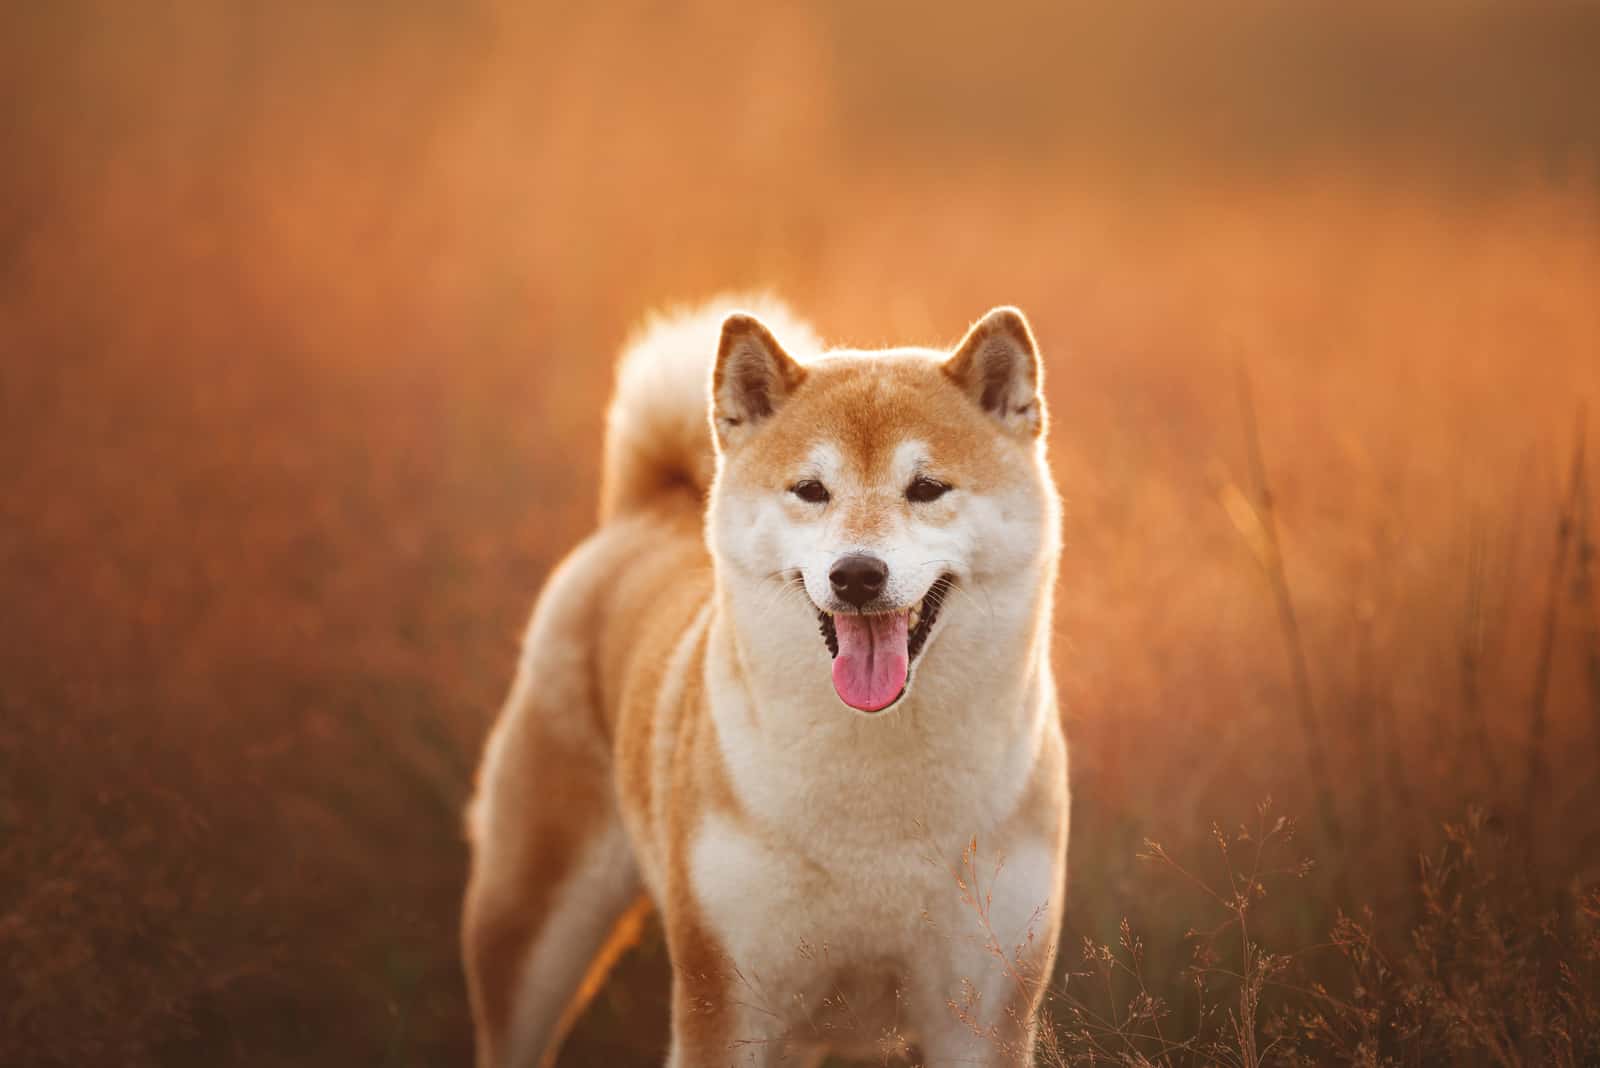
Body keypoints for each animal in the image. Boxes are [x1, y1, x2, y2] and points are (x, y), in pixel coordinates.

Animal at [460, 300, 1062, 1068]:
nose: (856, 573)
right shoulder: (726, 1001)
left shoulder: (982, 1014)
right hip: (533, 923)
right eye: (811, 490)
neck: (876, 799)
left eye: (927, 489)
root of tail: (645, 512)